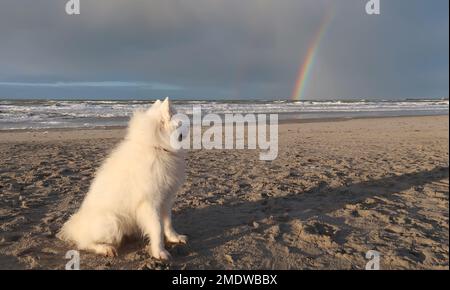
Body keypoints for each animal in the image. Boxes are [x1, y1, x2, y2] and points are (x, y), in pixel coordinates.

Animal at [57, 97, 186, 260]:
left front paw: (174, 238)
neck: (156, 147)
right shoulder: (149, 203)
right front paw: (160, 252)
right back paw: (105, 248)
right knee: (84, 243)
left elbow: (168, 223)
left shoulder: (166, 198)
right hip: (112, 223)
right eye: (181, 122)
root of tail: (75, 226)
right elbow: (157, 228)